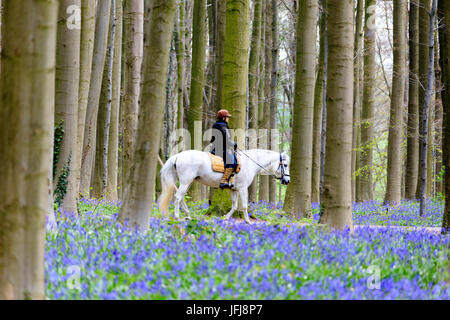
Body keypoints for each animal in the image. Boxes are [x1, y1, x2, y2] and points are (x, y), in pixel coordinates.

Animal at [158, 149, 292, 224]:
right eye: (285, 165)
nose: (287, 181)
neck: (249, 164)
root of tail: (177, 156)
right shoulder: (243, 188)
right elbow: (244, 206)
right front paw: (248, 221)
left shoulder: (234, 190)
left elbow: (234, 206)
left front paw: (225, 217)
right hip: (186, 181)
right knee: (177, 197)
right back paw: (177, 216)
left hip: (188, 182)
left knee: (181, 198)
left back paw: (188, 214)